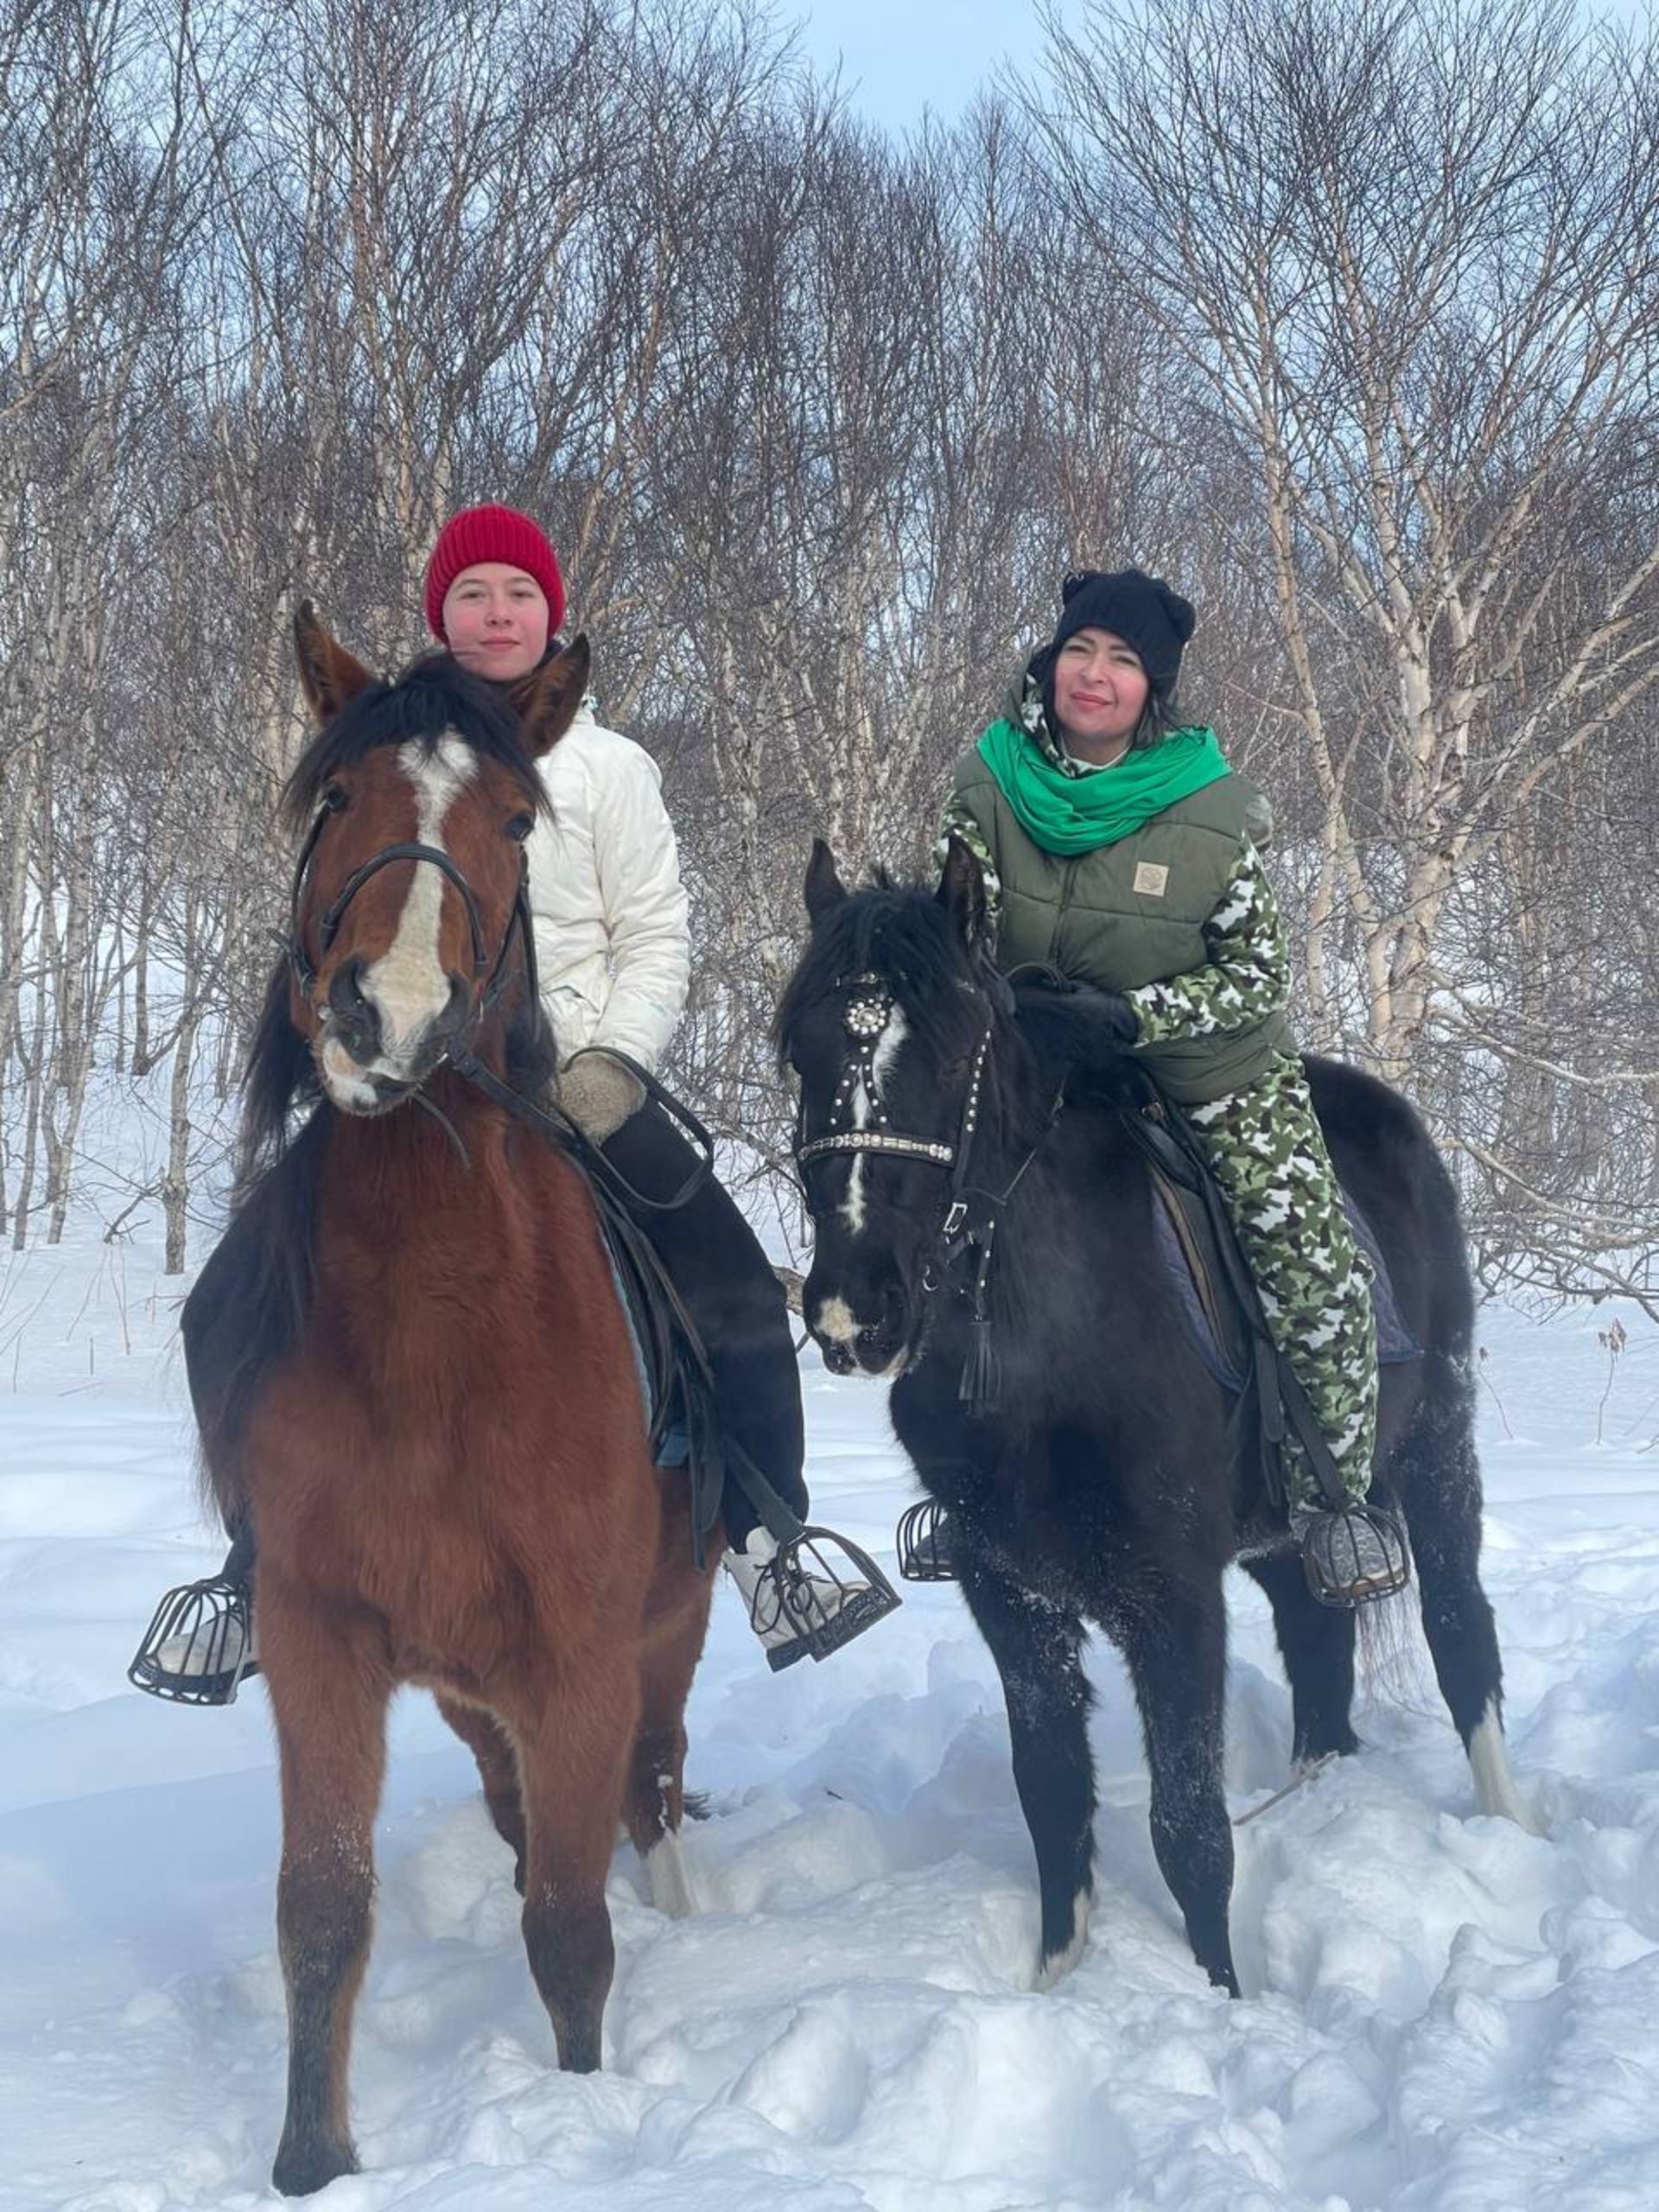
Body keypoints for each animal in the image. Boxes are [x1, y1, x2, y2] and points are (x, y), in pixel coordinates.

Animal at [194, 610, 716, 2194]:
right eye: (335, 796)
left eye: (517, 820)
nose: (395, 1015)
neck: (437, 1328)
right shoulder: (322, 1636)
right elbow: (321, 1912)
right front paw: (310, 2163)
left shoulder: (584, 1657)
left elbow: (571, 1932)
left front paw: (580, 2115)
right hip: (472, 1686)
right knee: (520, 1806)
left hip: (665, 1630)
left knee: (649, 1785)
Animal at [787, 836, 1539, 1999]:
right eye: (801, 1052)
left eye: (952, 1057)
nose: (853, 1310)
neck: (1047, 1345)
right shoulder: (1012, 1597)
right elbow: (1054, 1799)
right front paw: (1058, 1984)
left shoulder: (1172, 1600)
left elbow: (1191, 1828)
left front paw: (1222, 2000)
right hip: (1282, 1527)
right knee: (1317, 1637)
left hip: (1434, 1445)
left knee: (1462, 1628)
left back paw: (1507, 1829)